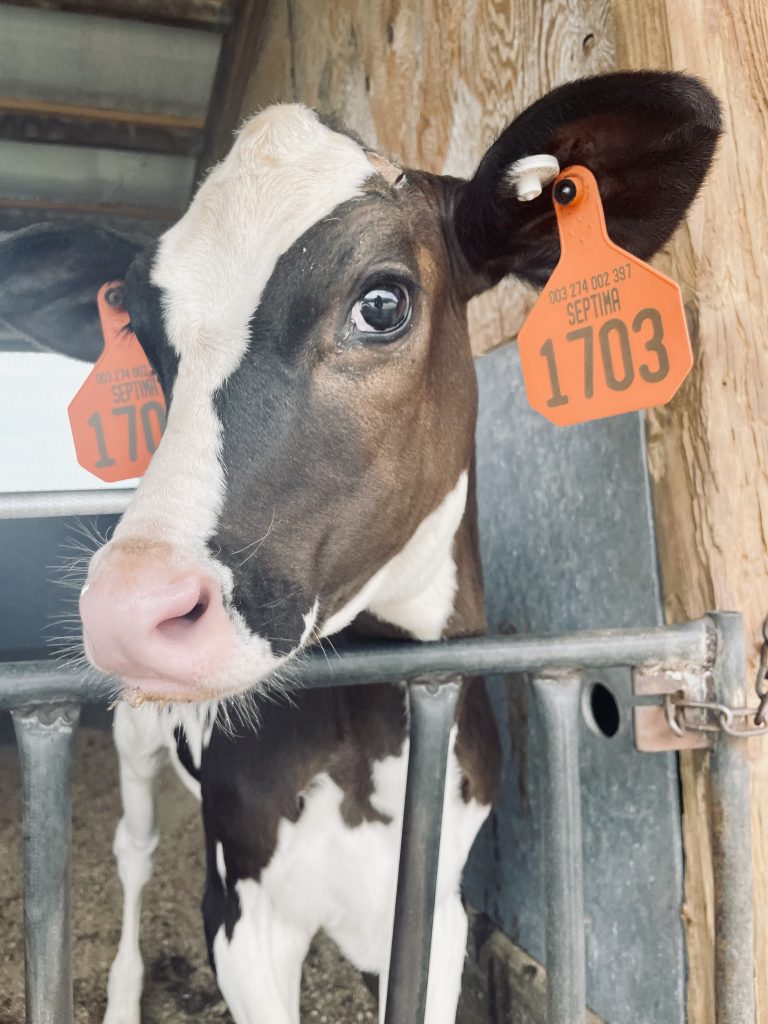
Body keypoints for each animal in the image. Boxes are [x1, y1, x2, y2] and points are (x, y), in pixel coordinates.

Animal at [0, 71, 720, 1024]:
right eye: (149, 344)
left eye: (381, 303)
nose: (127, 608)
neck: (365, 733)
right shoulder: (241, 913)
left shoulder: (435, 911)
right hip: (131, 735)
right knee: (133, 848)